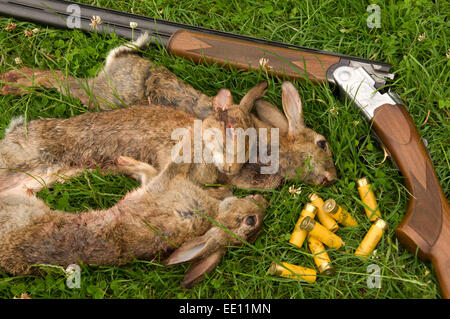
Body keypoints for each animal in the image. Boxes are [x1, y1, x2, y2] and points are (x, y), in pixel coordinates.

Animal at [0, 151, 268, 288]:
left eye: (250, 221)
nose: (262, 201)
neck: (213, 216)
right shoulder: (155, 185)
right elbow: (151, 170)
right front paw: (123, 162)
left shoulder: (163, 187)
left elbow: (174, 163)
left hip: (24, 206)